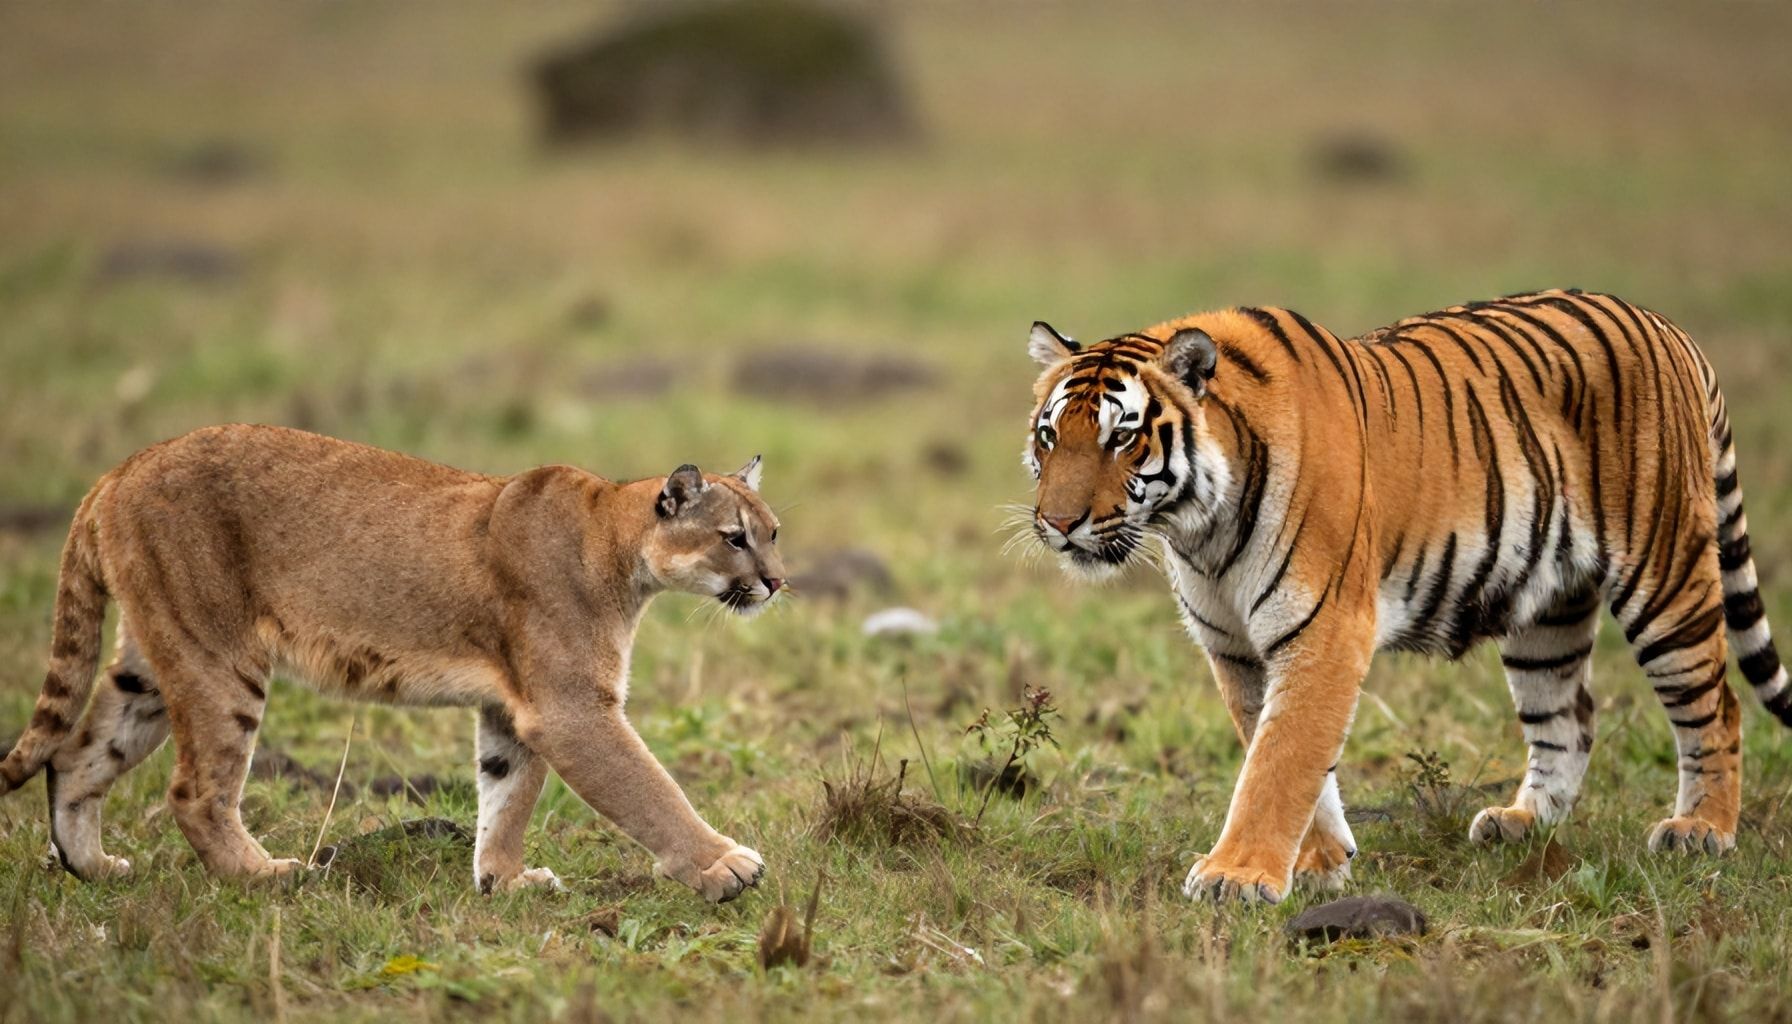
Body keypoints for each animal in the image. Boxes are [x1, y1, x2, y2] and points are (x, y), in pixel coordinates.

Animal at [0, 425, 782, 902]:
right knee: (192, 791)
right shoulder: (570, 711)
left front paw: (501, 883)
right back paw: (266, 876)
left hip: (152, 665)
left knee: (74, 756)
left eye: (773, 532)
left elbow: (506, 796)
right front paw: (723, 866)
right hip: (218, 659)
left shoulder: (514, 708)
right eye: (734, 538)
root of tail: (120, 469)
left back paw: (96, 870)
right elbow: (649, 791)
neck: (616, 542)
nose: (777, 582)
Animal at [1021, 288, 1787, 904]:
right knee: (1570, 717)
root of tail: (1668, 326)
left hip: (1666, 577)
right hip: (1546, 615)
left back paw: (1700, 831)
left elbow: (1280, 759)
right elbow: (1278, 750)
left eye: (1122, 438)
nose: (1057, 524)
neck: (1198, 528)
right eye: (1051, 436)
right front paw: (1322, 862)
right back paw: (1522, 824)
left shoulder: (1324, 629)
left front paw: (1236, 877)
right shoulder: (1235, 647)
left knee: (1717, 706)